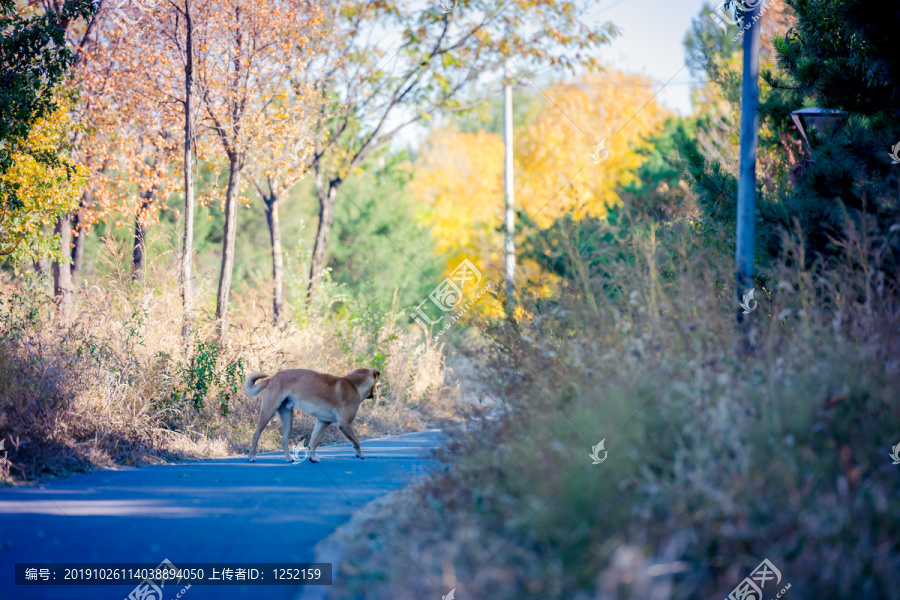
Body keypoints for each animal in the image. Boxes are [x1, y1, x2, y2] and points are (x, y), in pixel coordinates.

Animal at [244, 366, 378, 464]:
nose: (374, 395)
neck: (353, 384)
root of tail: (273, 378)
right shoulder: (345, 424)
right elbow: (356, 441)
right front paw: (360, 454)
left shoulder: (322, 422)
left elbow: (313, 443)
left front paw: (312, 458)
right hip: (268, 412)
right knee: (256, 434)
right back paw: (251, 456)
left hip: (288, 418)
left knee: (284, 441)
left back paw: (288, 458)